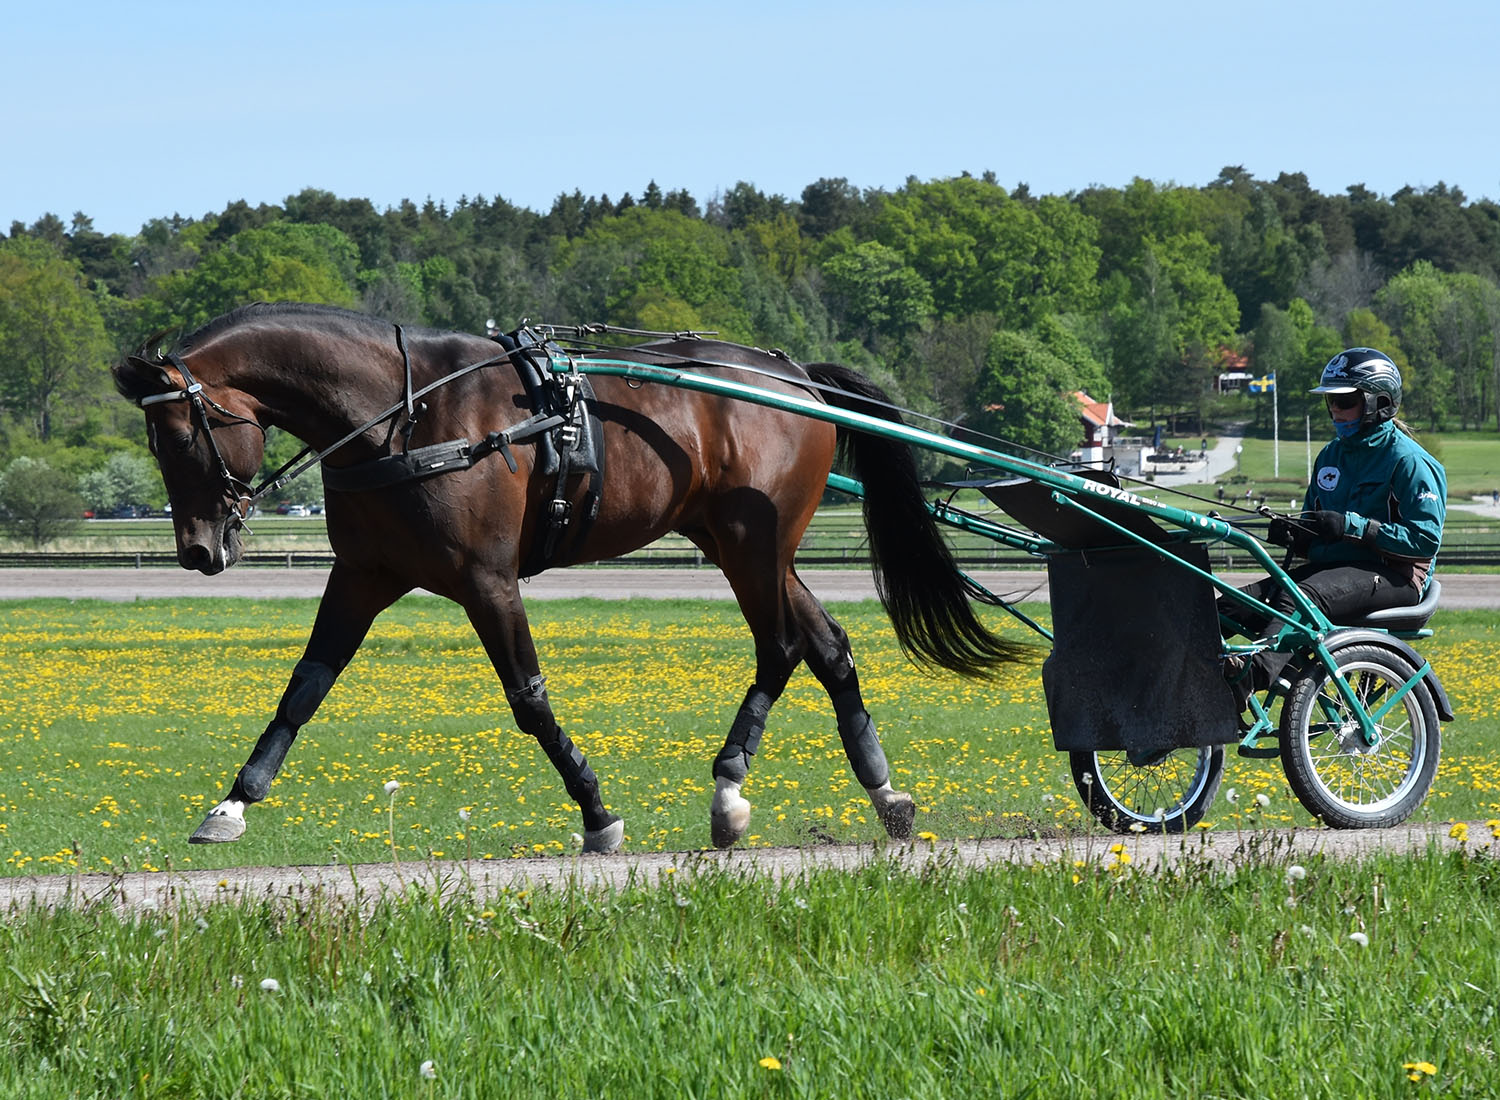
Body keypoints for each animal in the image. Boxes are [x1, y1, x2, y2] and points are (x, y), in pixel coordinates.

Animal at [114, 304, 1020, 852]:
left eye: (182, 438)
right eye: (155, 443)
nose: (198, 551)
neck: (407, 416)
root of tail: (793, 377)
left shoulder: (488, 580)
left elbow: (528, 699)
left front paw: (596, 810)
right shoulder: (365, 574)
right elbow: (304, 688)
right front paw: (233, 800)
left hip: (751, 543)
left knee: (781, 647)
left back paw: (730, 789)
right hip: (744, 542)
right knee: (826, 647)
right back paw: (885, 794)